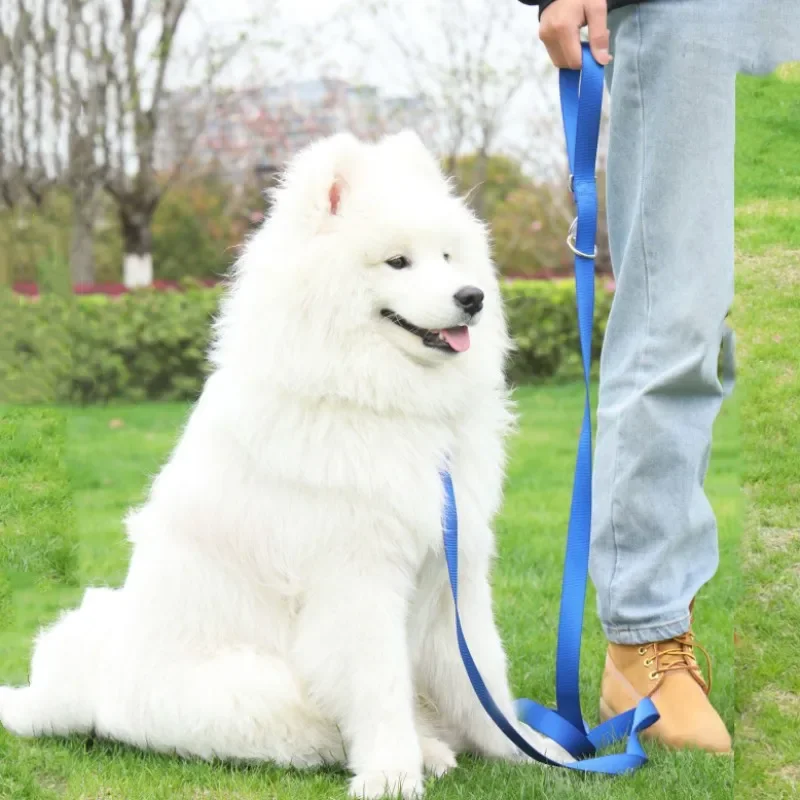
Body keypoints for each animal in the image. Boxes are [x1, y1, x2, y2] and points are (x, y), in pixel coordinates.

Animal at [0, 131, 556, 792]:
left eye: (448, 257)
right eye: (397, 262)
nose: (472, 297)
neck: (384, 404)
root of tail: (96, 693)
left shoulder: (453, 569)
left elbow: (481, 676)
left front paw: (529, 749)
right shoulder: (357, 581)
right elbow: (381, 688)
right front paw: (391, 775)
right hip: (262, 690)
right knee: (323, 731)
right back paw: (425, 752)